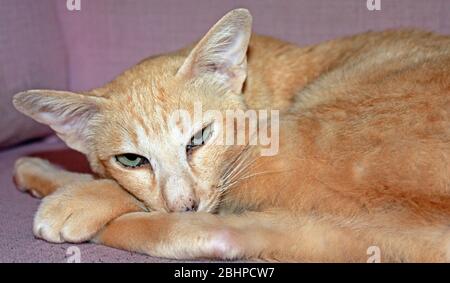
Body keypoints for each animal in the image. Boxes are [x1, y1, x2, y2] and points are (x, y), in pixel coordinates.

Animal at [11, 8, 450, 262]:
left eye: (199, 137)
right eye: (131, 159)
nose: (185, 206)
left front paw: (78, 198)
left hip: (302, 142)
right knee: (224, 236)